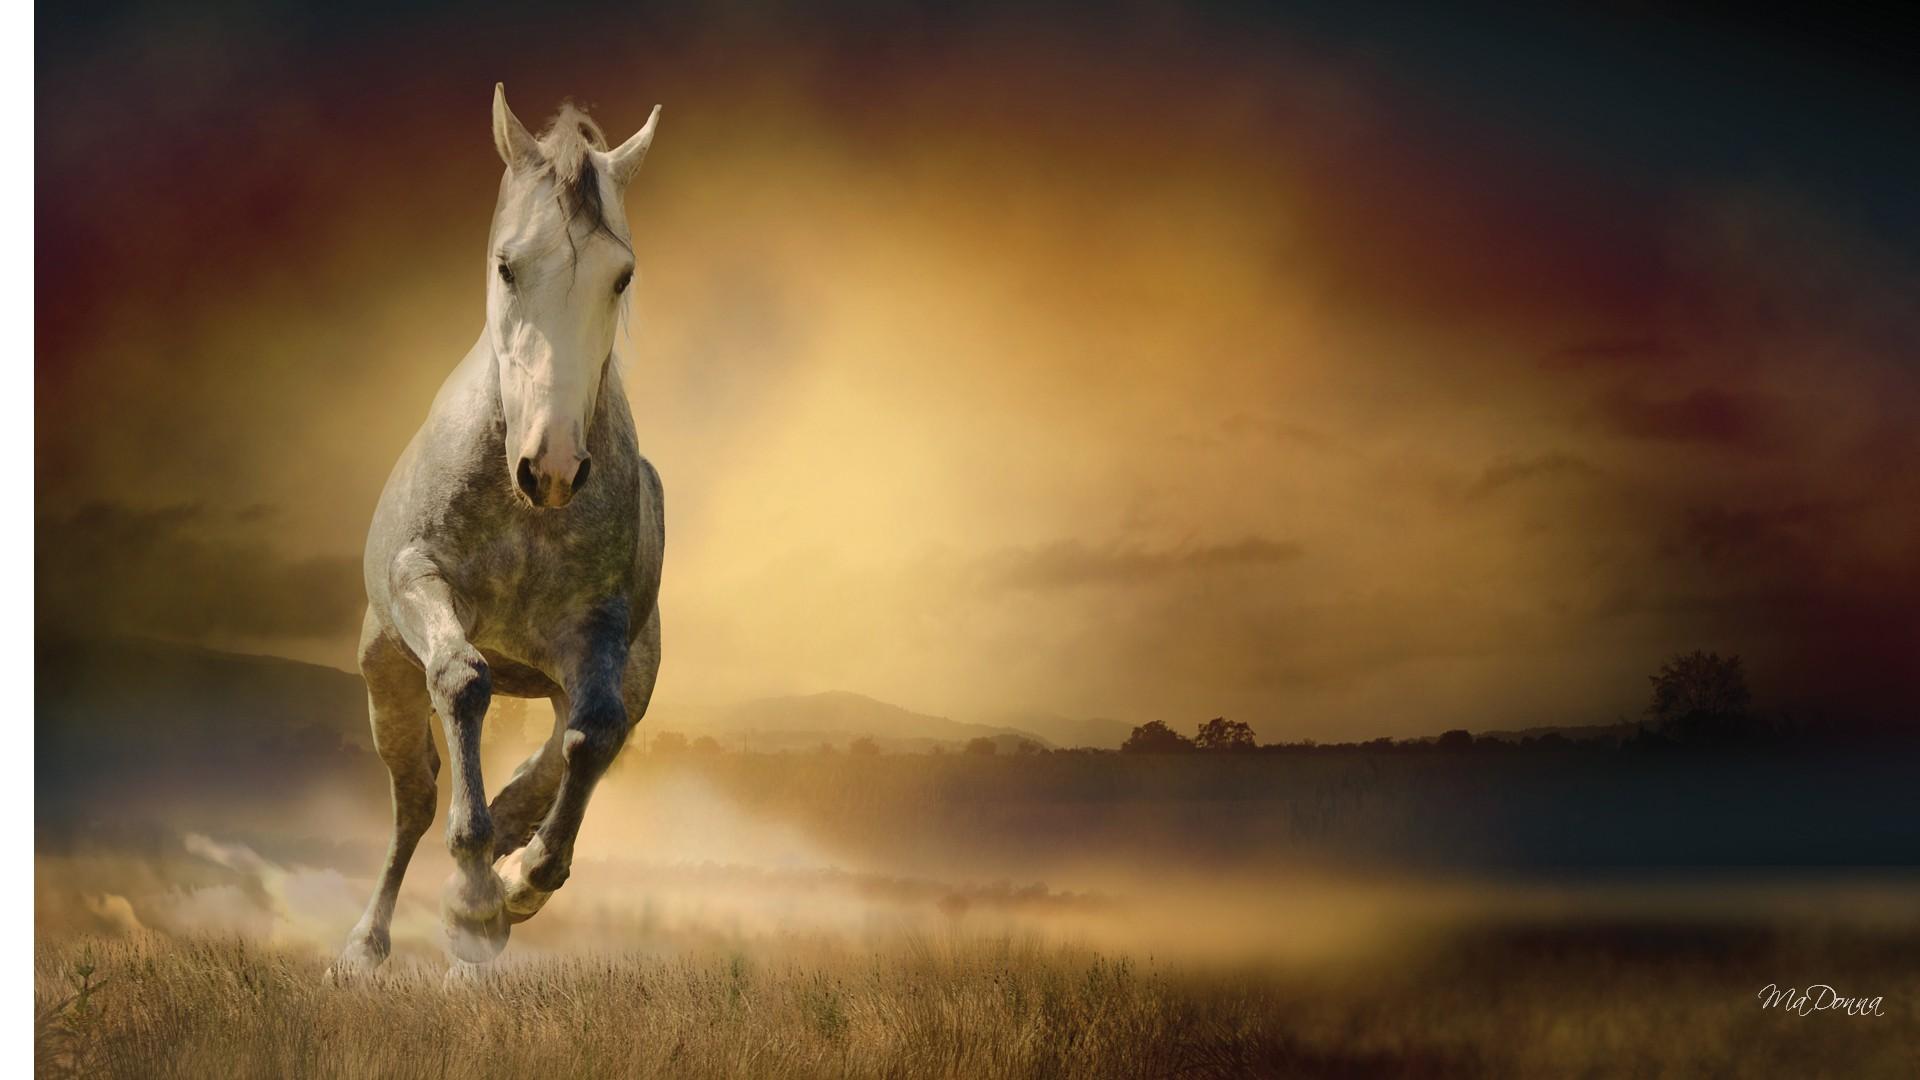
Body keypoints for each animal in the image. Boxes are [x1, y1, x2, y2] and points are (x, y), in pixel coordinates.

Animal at [332, 85, 665, 973]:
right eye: (509, 266)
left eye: (622, 276)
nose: (550, 467)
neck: (526, 518)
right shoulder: (424, 584)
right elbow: (464, 681)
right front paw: (476, 894)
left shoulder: (599, 631)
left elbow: (593, 733)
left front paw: (517, 883)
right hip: (386, 679)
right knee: (413, 803)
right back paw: (367, 946)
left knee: (563, 756)